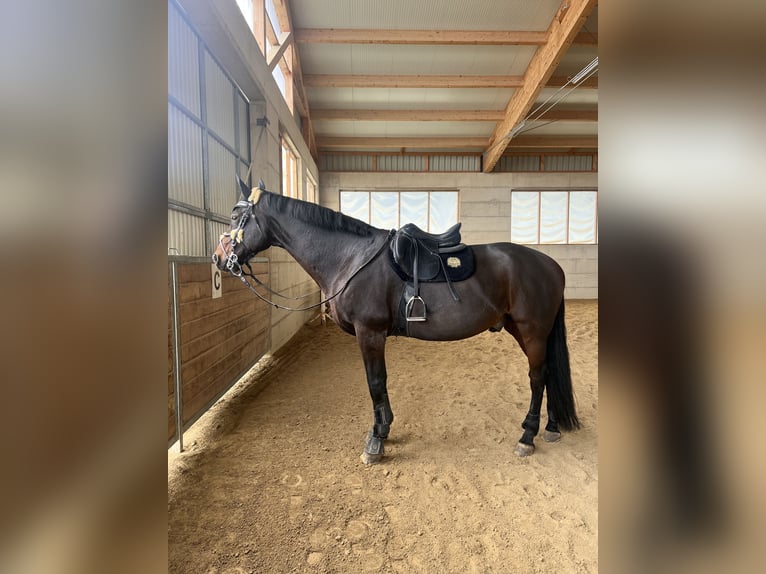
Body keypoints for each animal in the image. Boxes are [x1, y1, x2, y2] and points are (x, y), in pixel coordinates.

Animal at [213, 178, 580, 466]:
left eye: (235, 215)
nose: (218, 258)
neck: (351, 258)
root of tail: (552, 266)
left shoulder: (370, 332)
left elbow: (375, 382)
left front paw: (376, 440)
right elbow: (379, 383)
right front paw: (383, 429)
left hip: (532, 330)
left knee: (537, 377)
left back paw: (528, 435)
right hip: (523, 330)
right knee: (547, 374)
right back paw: (550, 427)